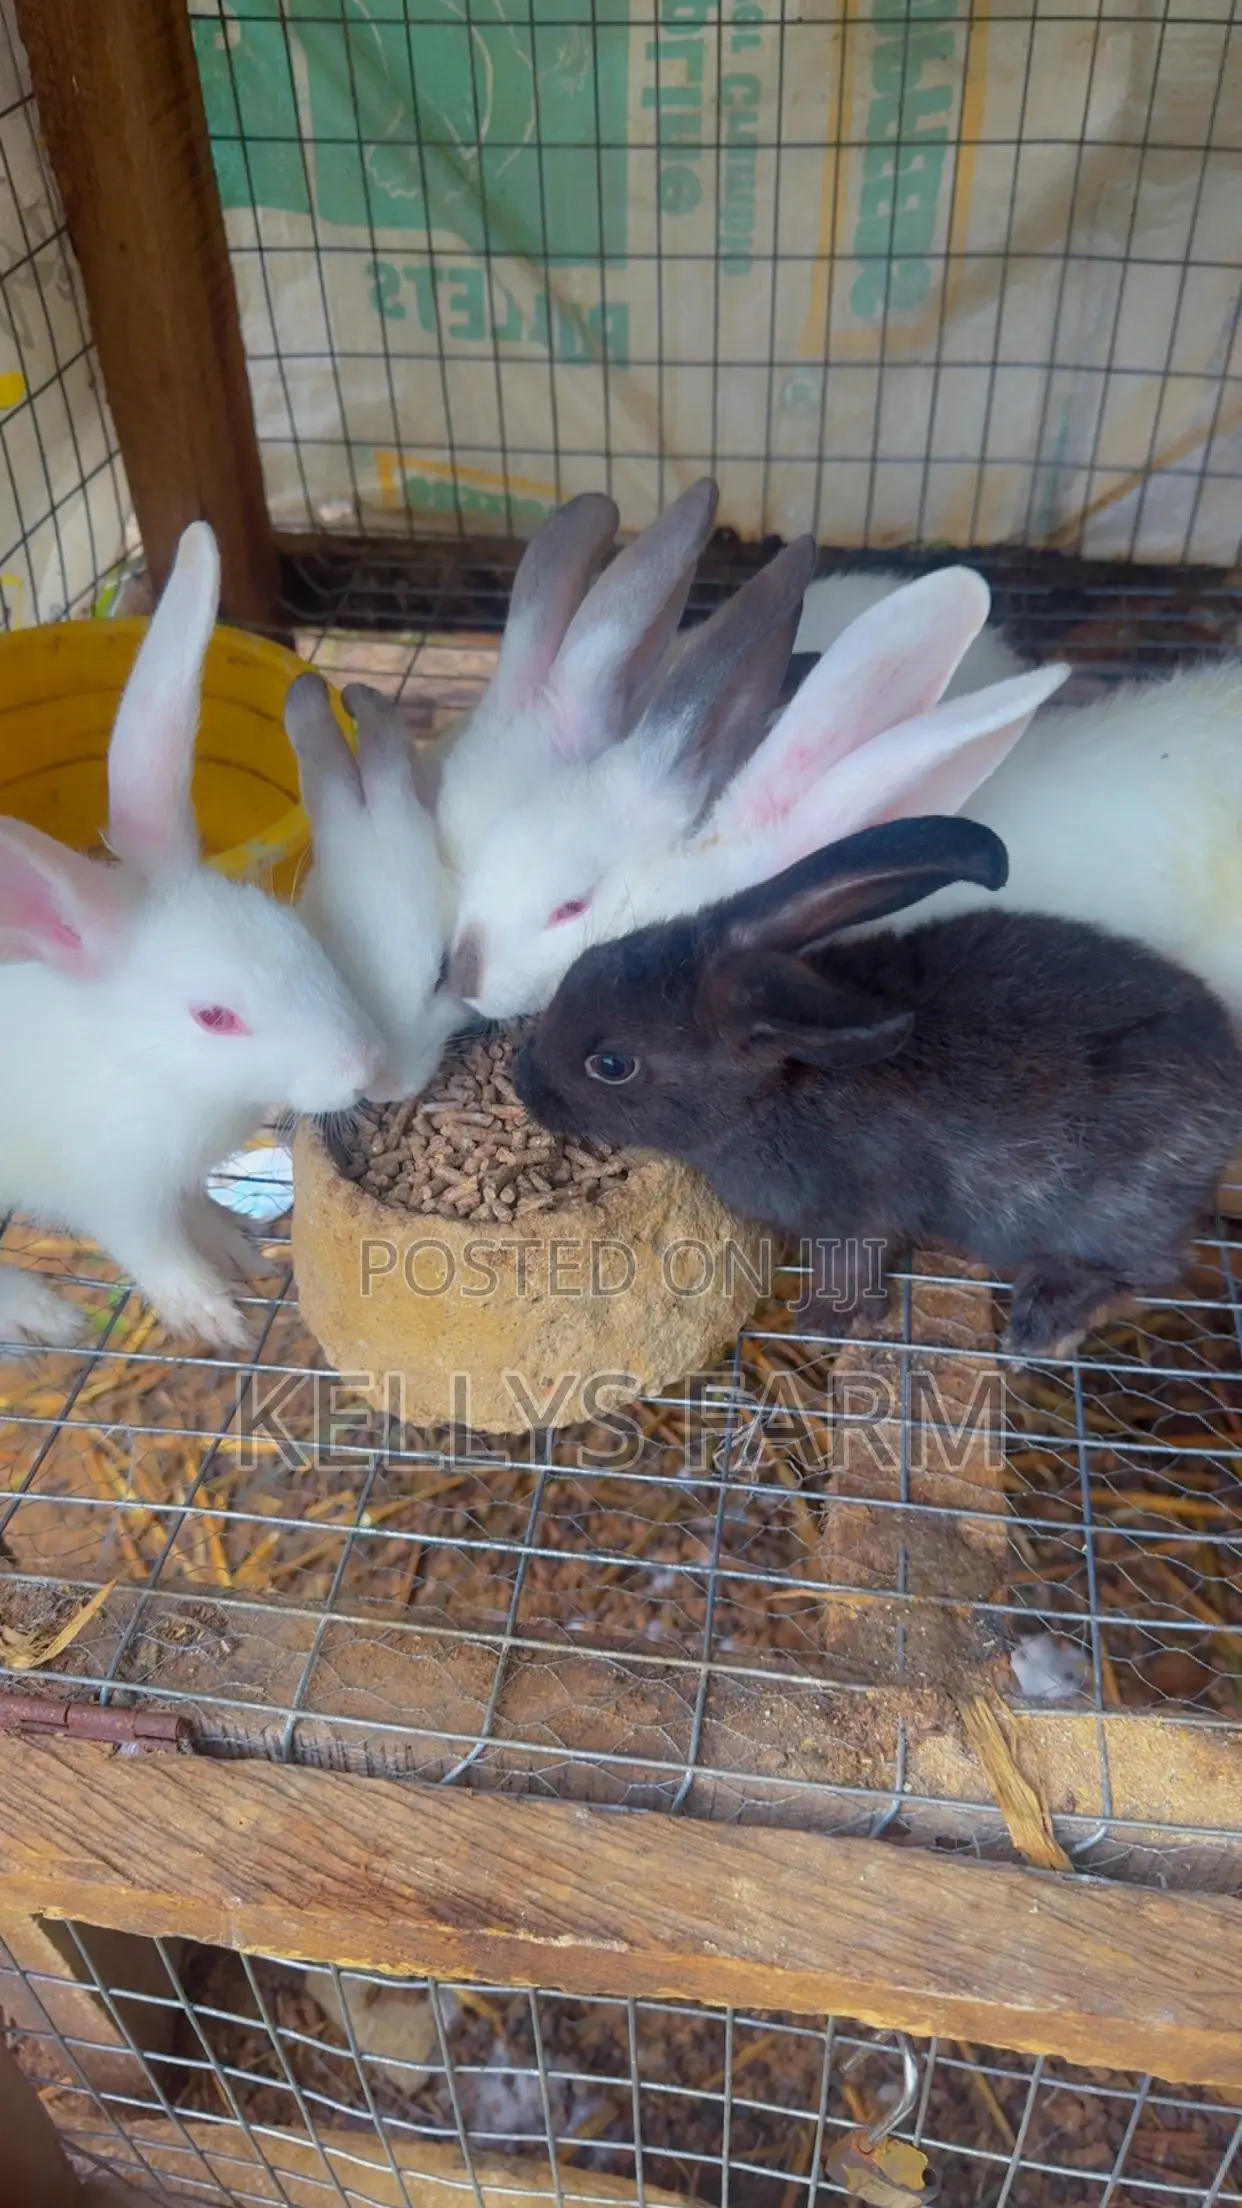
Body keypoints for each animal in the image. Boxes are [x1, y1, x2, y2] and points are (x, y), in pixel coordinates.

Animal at [0, 521, 382, 1353]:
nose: (362, 1068)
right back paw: (42, 1312)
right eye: (214, 1017)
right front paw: (213, 1314)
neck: (145, 1070)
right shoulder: (114, 1192)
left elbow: (193, 1210)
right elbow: (154, 1249)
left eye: (295, 936)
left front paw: (236, 1247)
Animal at [514, 815, 1242, 1362]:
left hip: (1107, 1210)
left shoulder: (857, 1216)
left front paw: (823, 1322)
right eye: (588, 963)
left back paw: (1044, 1322)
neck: (775, 1090)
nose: (525, 1083)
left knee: (1150, 1270)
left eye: (612, 1065)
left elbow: (851, 1265)